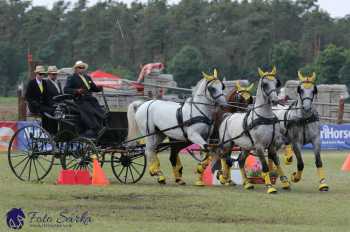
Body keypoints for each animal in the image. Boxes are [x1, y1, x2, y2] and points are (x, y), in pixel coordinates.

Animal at [219, 66, 284, 194]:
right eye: (265, 84)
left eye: (276, 83)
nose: (275, 100)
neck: (264, 117)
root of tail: (227, 117)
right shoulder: (259, 146)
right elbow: (265, 166)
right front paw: (270, 186)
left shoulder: (272, 145)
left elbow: (277, 162)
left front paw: (286, 182)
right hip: (228, 144)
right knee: (224, 157)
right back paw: (224, 178)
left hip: (245, 147)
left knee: (240, 160)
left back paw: (247, 183)